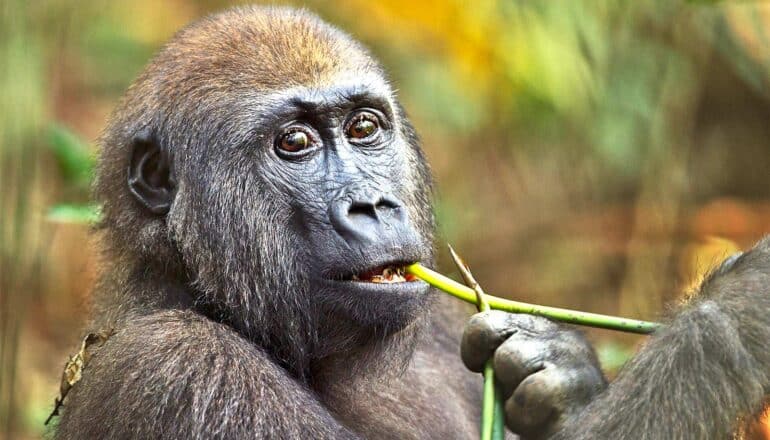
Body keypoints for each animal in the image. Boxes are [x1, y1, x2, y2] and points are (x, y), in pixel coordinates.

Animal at [54, 6, 768, 440]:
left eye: (364, 128)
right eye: (294, 144)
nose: (373, 205)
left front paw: (559, 373)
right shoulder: (180, 368)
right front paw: (735, 317)